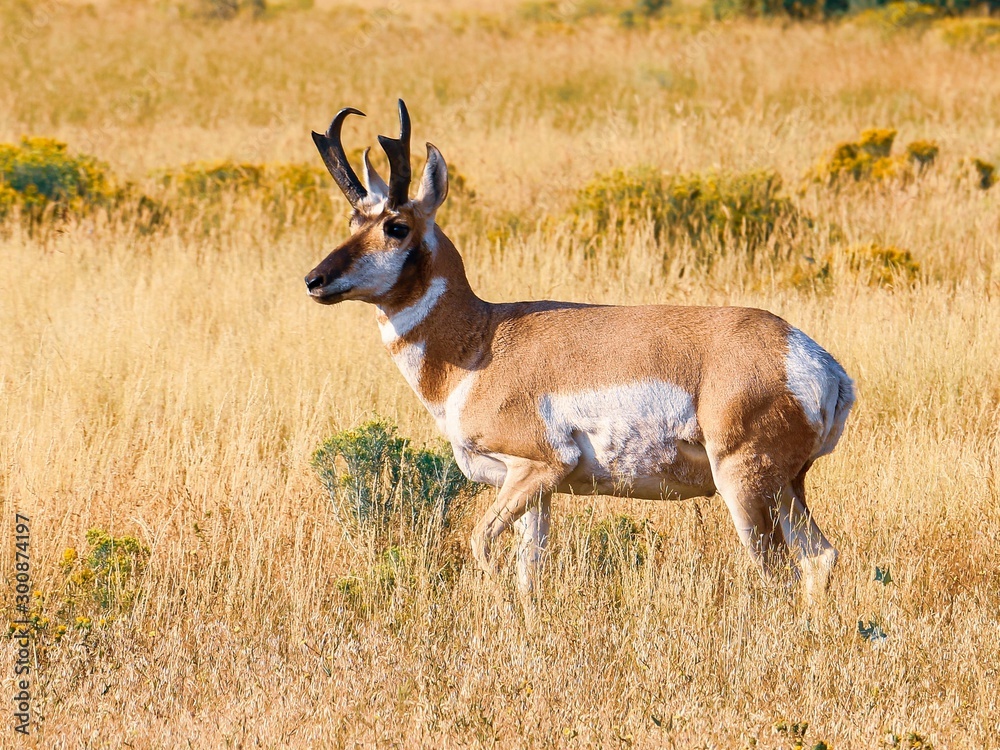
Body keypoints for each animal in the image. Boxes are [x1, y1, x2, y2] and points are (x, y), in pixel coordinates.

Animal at [304, 100, 855, 598]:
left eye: (395, 226)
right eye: (353, 224)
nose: (314, 280)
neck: (482, 341)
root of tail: (813, 359)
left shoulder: (540, 465)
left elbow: (482, 546)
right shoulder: (532, 489)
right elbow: (529, 572)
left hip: (744, 483)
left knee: (780, 573)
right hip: (786, 487)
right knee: (821, 557)